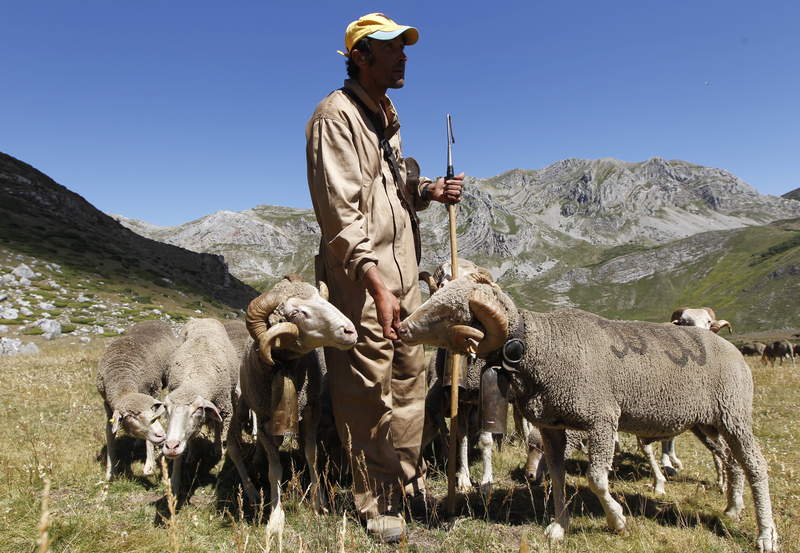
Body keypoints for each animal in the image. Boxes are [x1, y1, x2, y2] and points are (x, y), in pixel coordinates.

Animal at [97, 320, 178, 478]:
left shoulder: (152, 390)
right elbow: (110, 433)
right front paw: (110, 472)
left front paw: (149, 466)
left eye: (153, 413)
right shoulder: (108, 405)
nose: (161, 435)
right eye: (132, 416)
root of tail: (154, 320)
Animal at [162, 316, 238, 498]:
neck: (197, 371)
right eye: (166, 409)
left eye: (196, 410)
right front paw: (175, 483)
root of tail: (204, 318)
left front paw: (220, 454)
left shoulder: (225, 410)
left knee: (217, 427)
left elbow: (221, 433)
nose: (170, 446)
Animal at [222, 274, 354, 512]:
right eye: (295, 313)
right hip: (240, 405)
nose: (350, 330)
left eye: (321, 298)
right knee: (234, 447)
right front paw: (276, 512)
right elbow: (274, 469)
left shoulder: (311, 410)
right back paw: (251, 491)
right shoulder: (264, 419)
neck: (282, 366)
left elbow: (311, 455)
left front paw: (318, 502)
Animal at [396, 274, 780, 548]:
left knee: (755, 465)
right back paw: (732, 508)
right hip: (712, 422)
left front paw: (618, 521)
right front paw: (558, 527)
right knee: (731, 461)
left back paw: (766, 535)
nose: (401, 327)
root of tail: (728, 346)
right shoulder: (552, 426)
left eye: (450, 313)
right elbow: (559, 475)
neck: (542, 346)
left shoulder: (602, 420)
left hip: (734, 413)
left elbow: (596, 479)